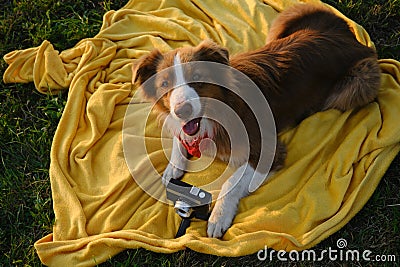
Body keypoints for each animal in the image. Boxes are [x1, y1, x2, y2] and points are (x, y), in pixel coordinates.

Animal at [132, 3, 382, 239]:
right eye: (165, 84)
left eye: (197, 77)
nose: (182, 110)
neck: (217, 111)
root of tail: (353, 39)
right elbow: (178, 136)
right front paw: (173, 165)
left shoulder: (268, 147)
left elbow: (230, 183)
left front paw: (218, 216)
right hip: (289, 17)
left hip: (359, 82)